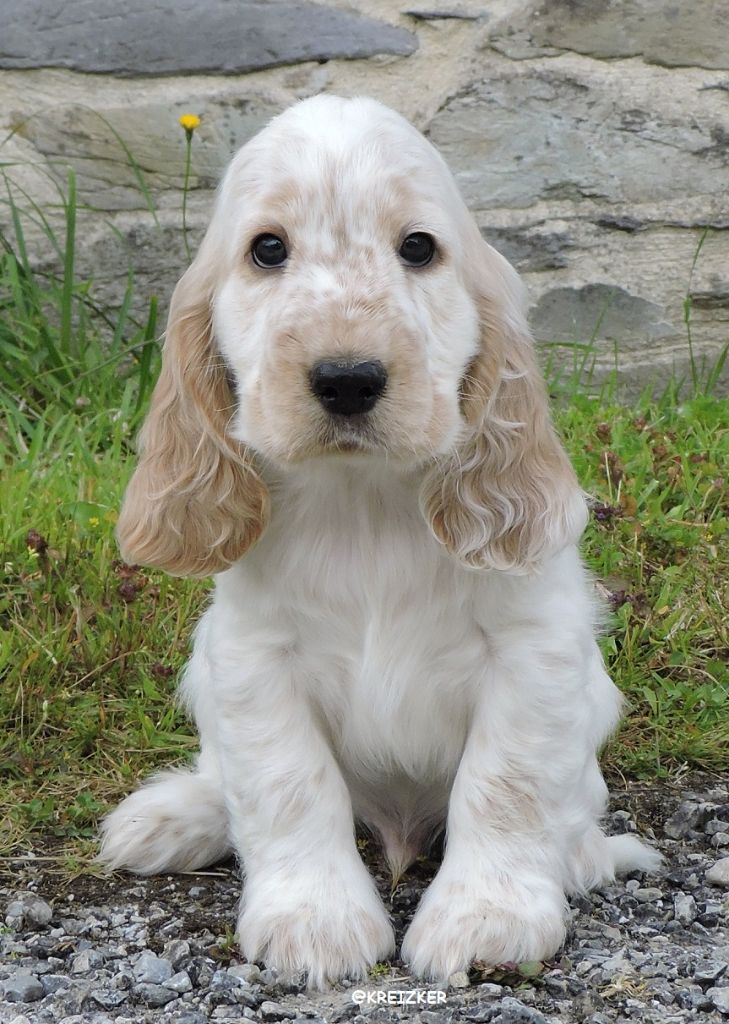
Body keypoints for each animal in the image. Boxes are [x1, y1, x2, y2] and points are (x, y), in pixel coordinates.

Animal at [100, 94, 659, 987]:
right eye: (267, 249)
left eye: (418, 247)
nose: (347, 379)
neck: (362, 504)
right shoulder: (253, 657)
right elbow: (287, 783)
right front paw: (313, 920)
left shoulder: (531, 651)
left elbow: (503, 785)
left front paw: (487, 917)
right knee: (224, 777)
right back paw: (172, 817)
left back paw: (576, 856)